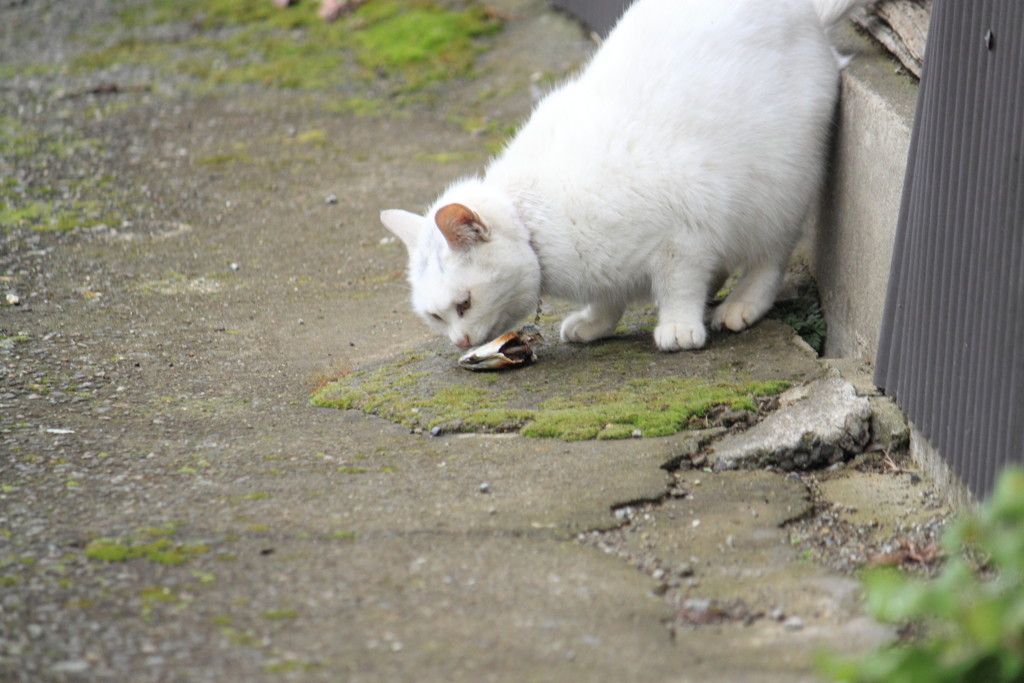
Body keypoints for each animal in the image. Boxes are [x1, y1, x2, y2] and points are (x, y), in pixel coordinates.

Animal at [380, 0, 868, 352]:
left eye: (464, 303)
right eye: (435, 317)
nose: (459, 341)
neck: (535, 224)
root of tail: (809, 16)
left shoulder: (684, 233)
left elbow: (679, 283)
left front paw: (678, 326)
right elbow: (608, 294)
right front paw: (595, 322)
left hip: (779, 187)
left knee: (771, 255)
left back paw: (741, 304)